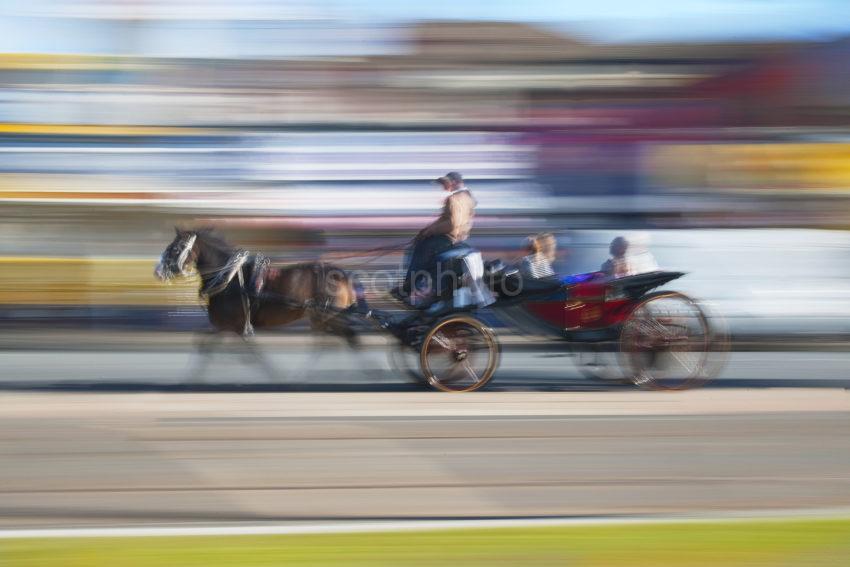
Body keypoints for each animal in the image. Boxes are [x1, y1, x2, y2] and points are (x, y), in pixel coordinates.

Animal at [156, 229, 358, 380]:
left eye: (176, 249)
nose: (157, 272)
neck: (229, 279)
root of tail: (340, 274)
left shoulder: (230, 325)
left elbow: (247, 351)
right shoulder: (227, 326)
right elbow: (203, 342)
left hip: (326, 315)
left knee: (339, 340)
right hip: (323, 317)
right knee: (336, 340)